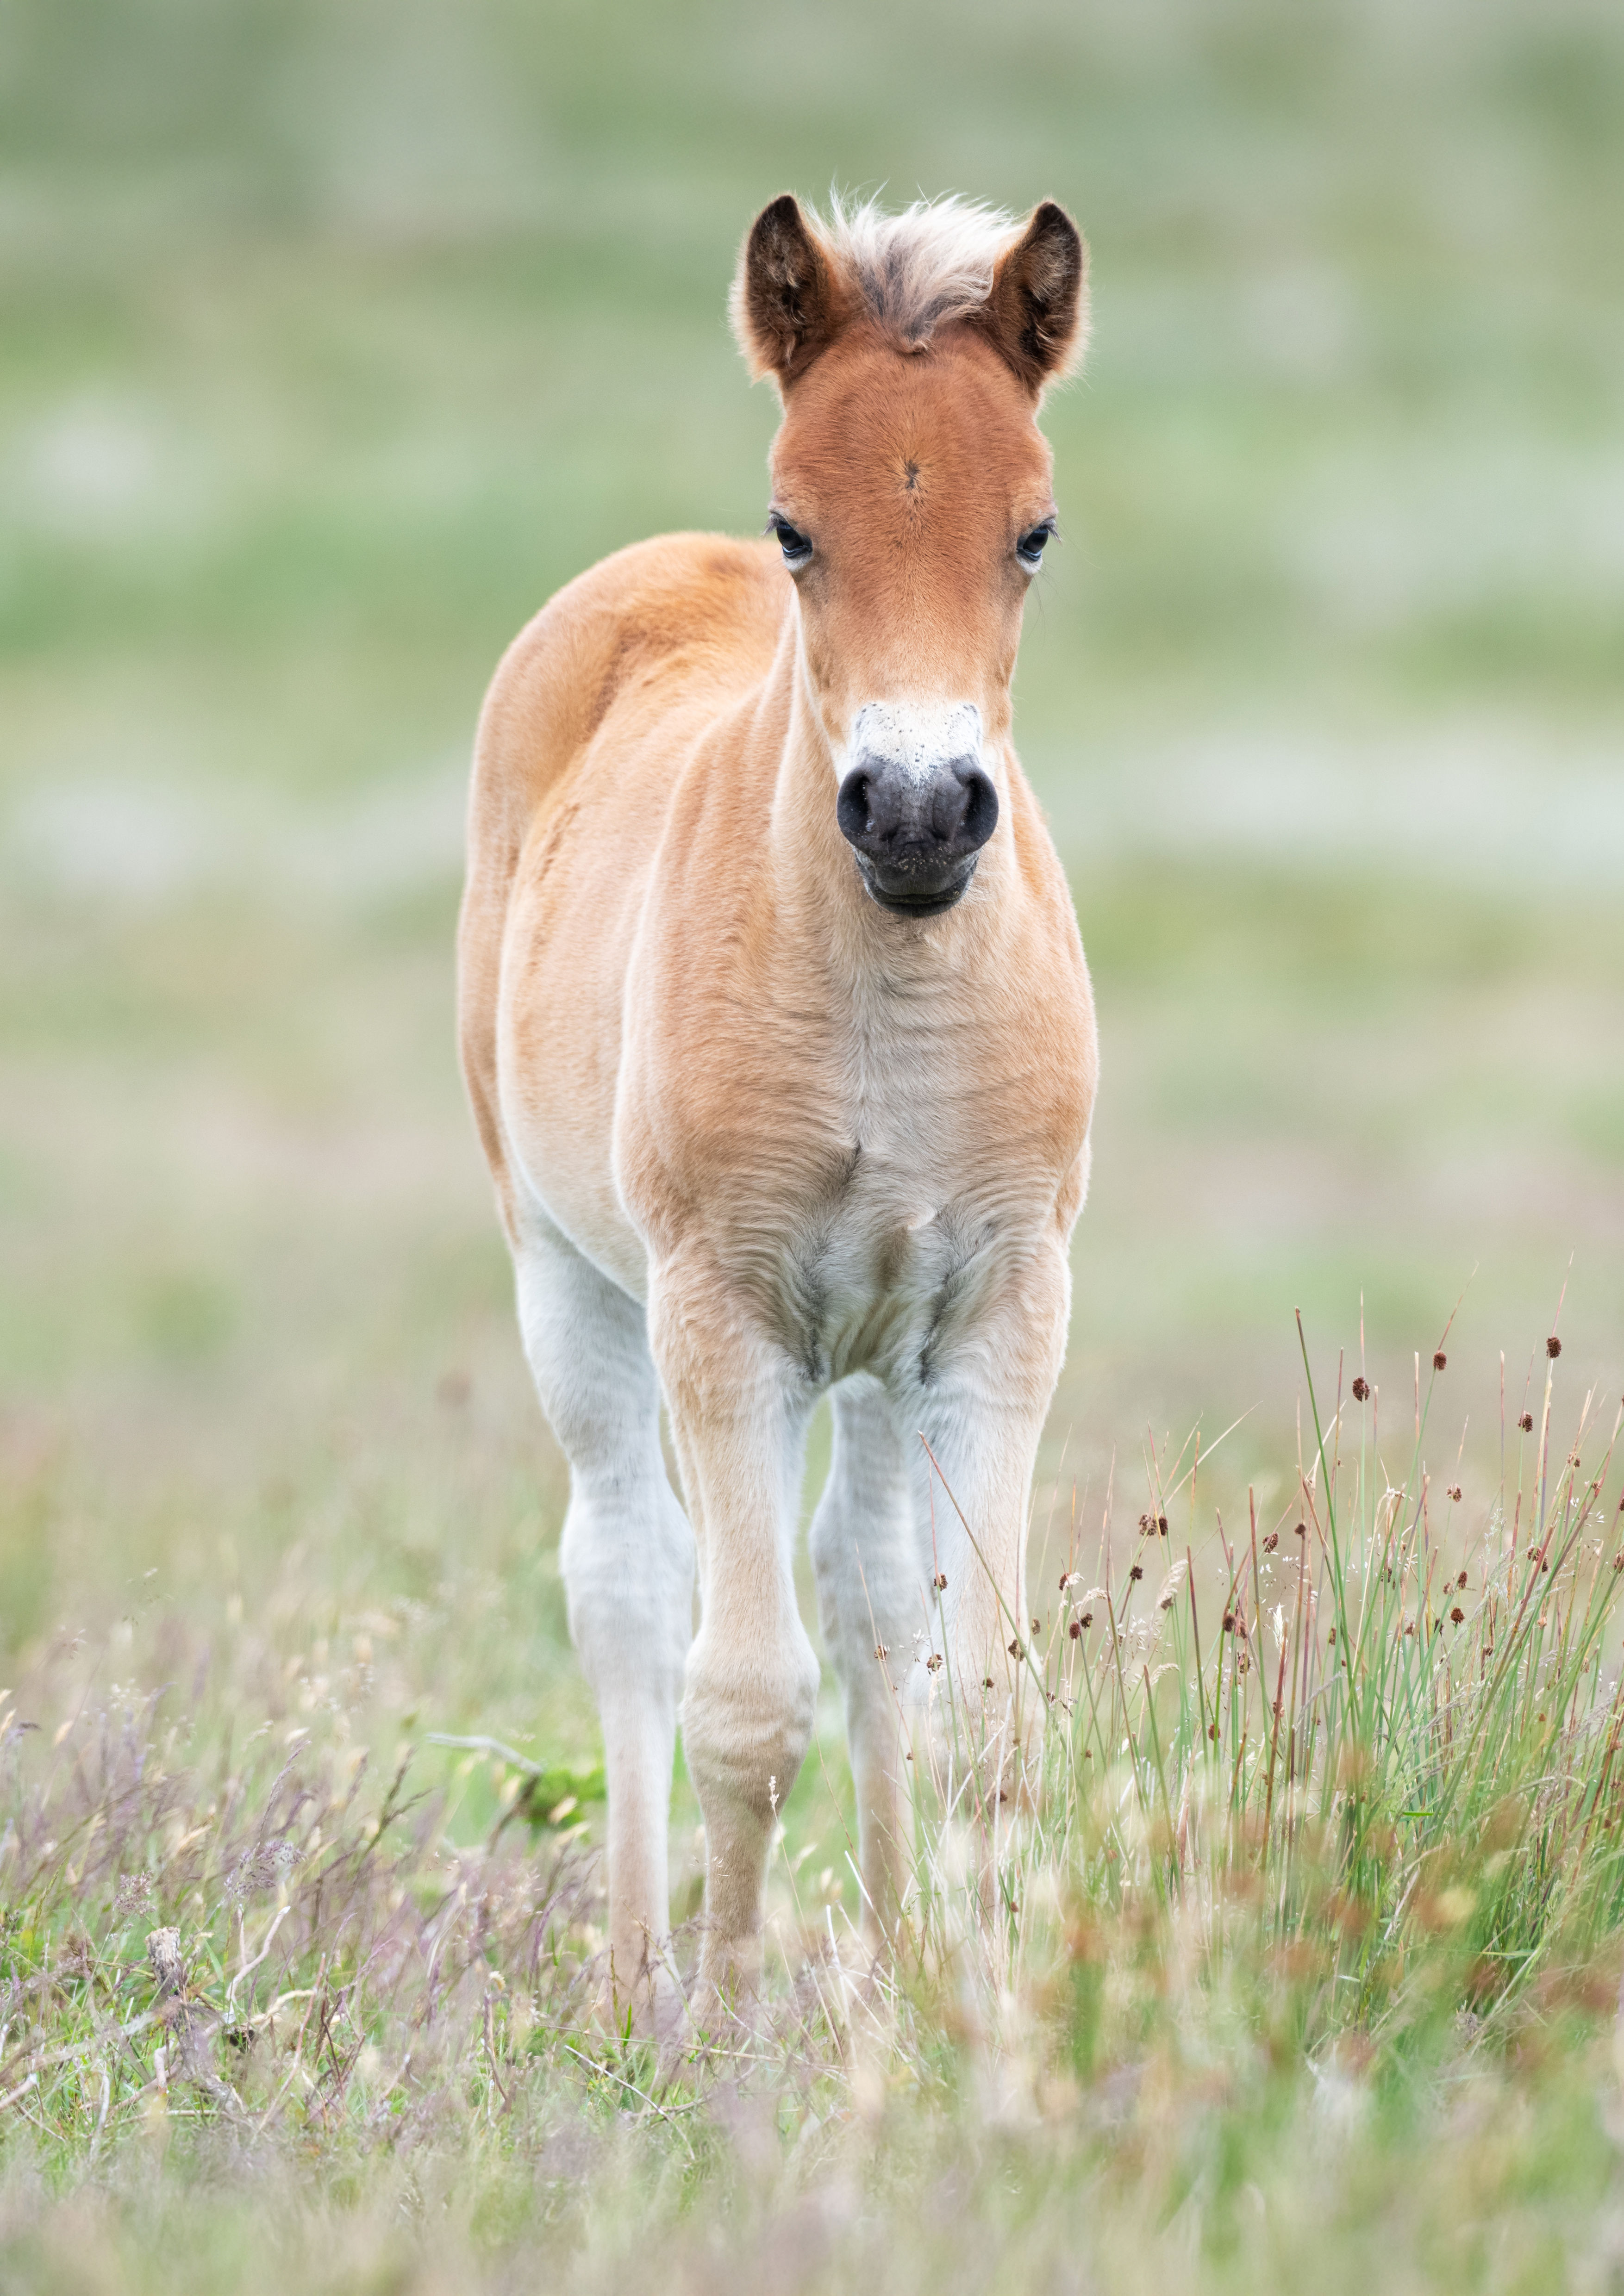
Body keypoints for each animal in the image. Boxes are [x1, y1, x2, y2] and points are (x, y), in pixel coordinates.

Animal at [457, 192, 1098, 2015]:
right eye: (794, 527)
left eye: (1033, 532)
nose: (916, 810)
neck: (885, 992)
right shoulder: (720, 1309)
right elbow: (742, 1703)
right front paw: (725, 2021)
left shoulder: (999, 1309)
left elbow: (978, 1707)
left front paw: (966, 2012)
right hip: (564, 1272)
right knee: (627, 1585)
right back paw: (632, 1975)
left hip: (874, 1350)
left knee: (865, 1594)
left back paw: (880, 1951)